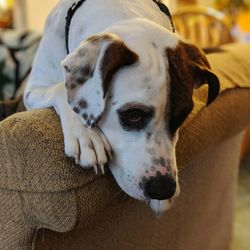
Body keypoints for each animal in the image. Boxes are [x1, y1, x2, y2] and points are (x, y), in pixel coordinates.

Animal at [23, 0, 219, 215]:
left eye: (182, 116)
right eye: (133, 115)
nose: (163, 189)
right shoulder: (32, 90)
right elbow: (60, 88)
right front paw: (87, 136)